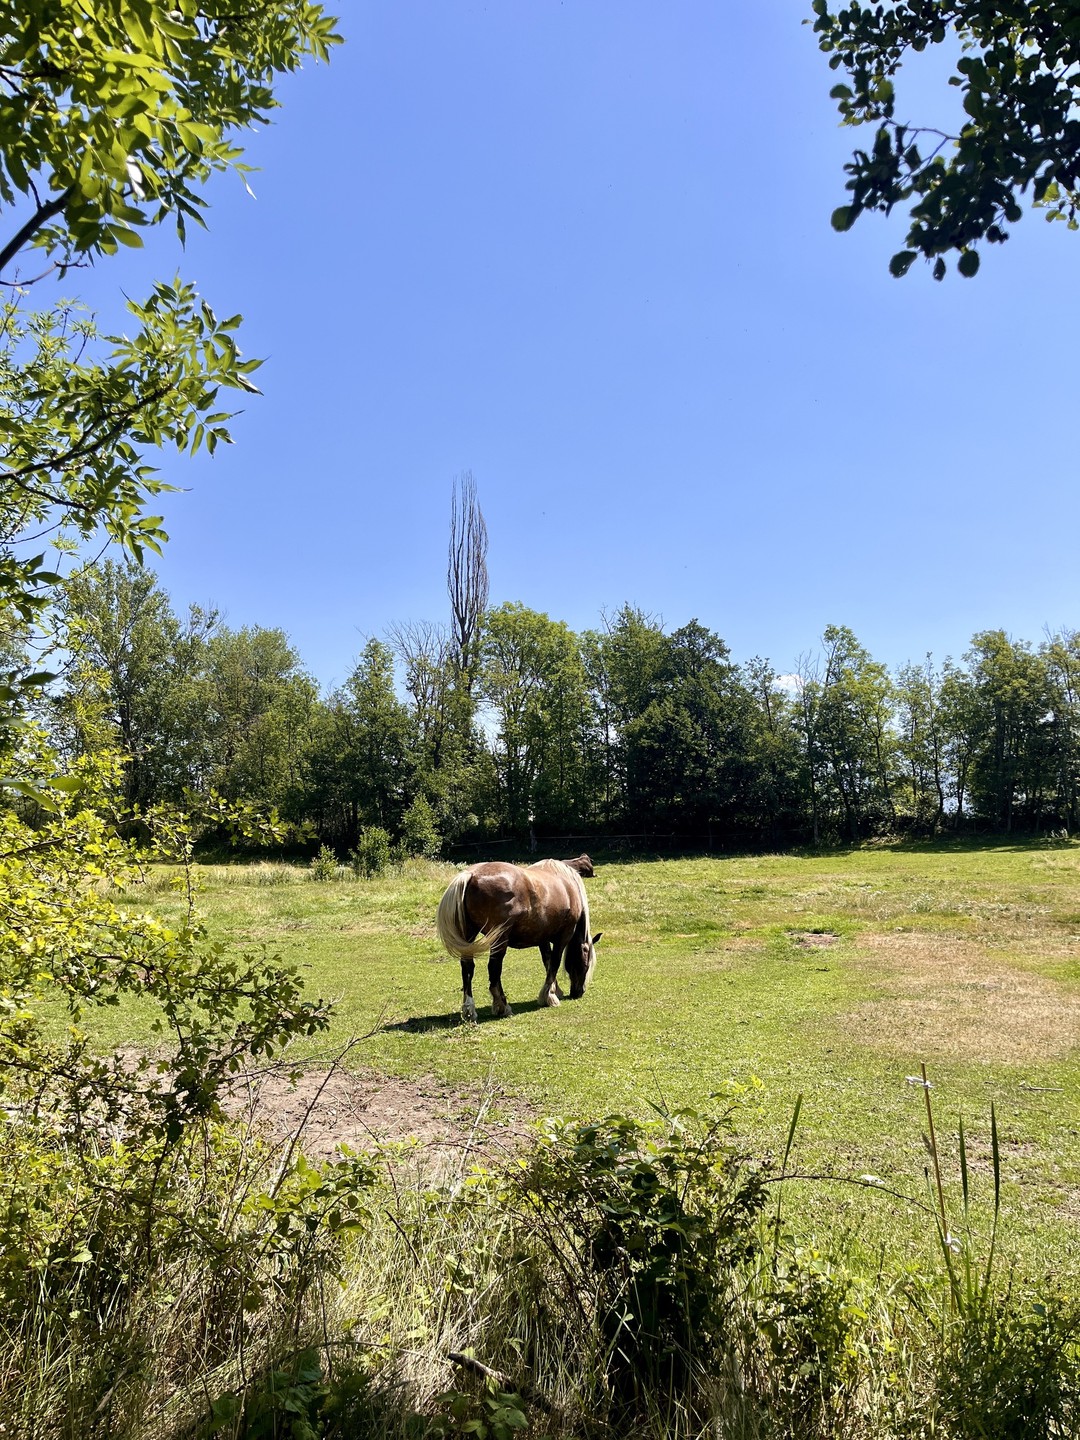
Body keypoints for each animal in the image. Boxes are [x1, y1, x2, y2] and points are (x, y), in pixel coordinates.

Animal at [436, 856, 601, 1021]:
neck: (568, 887)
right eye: (586, 963)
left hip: (469, 936)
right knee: (494, 969)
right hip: (499, 939)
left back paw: (469, 1009)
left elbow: (547, 962)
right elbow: (554, 963)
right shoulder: (563, 936)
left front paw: (554, 990)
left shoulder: (543, 938)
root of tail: (471, 875)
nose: (578, 992)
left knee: (467, 967)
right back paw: (502, 1006)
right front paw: (549, 996)